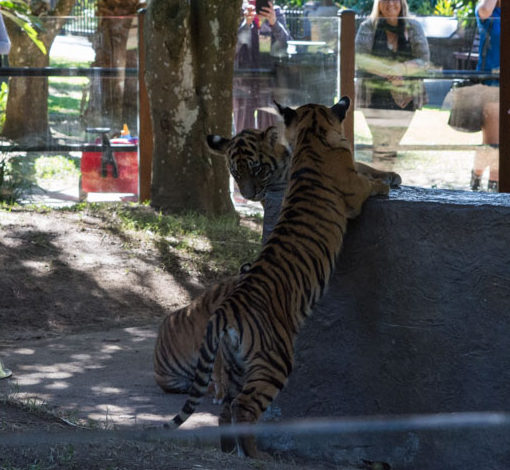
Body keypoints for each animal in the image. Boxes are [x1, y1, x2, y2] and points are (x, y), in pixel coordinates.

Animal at [168, 97, 394, 458]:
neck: (311, 135)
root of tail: (225, 309)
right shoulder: (355, 191)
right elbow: (369, 183)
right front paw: (386, 184)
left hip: (235, 365)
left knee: (227, 408)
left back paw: (230, 452)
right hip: (274, 361)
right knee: (244, 407)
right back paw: (257, 455)